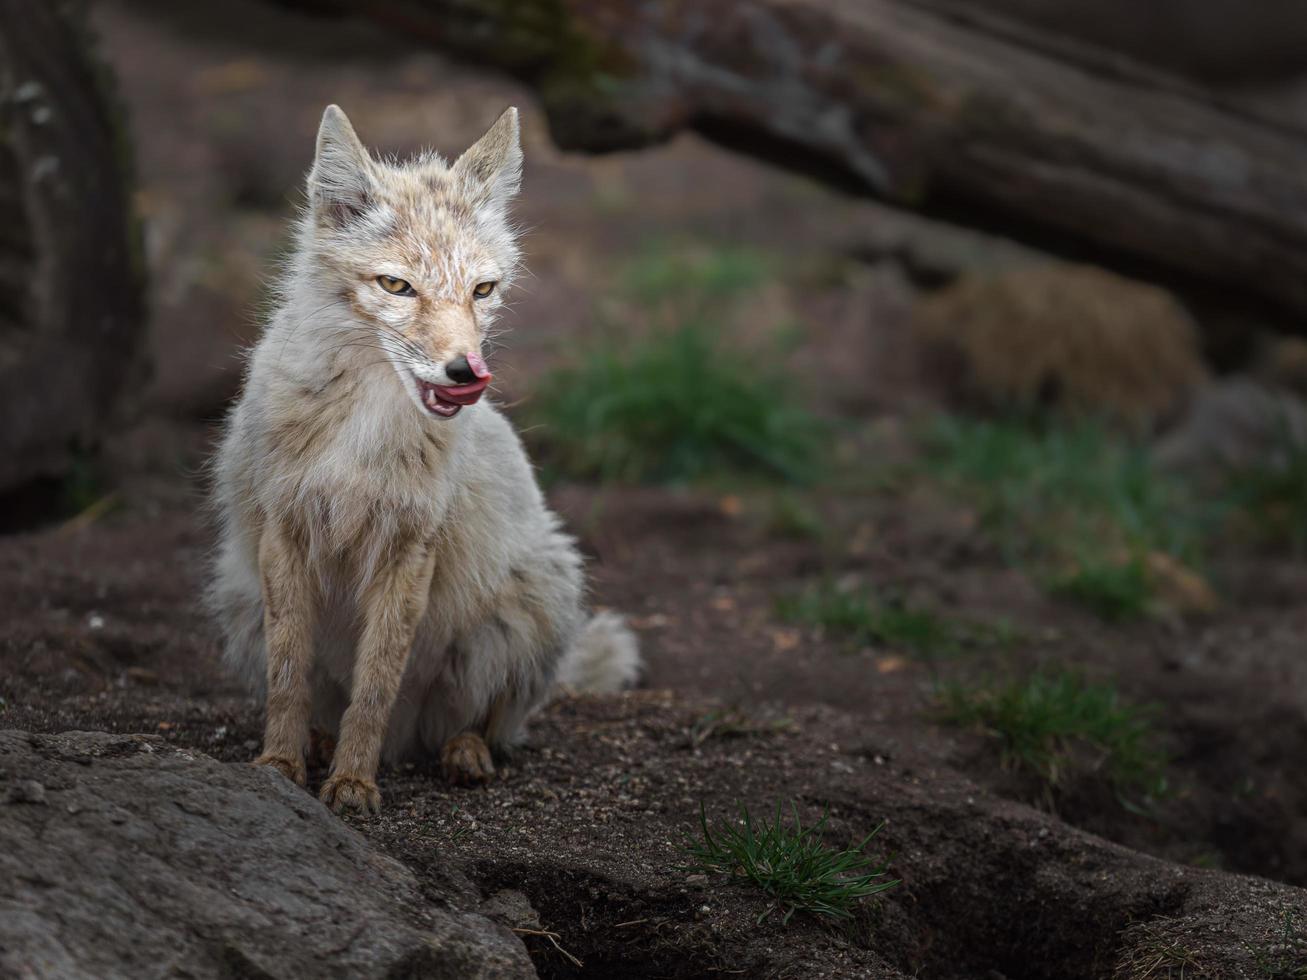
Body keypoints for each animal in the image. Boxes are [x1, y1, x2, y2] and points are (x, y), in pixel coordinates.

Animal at [206, 103, 640, 815]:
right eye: (397, 286)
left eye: (483, 290)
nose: (466, 372)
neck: (363, 430)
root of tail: (407, 743)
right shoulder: (284, 532)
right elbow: (289, 675)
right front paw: (280, 765)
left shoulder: (410, 548)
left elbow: (376, 684)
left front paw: (354, 783)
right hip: (239, 598)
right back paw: (322, 743)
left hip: (534, 598)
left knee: (481, 724)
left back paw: (463, 753)